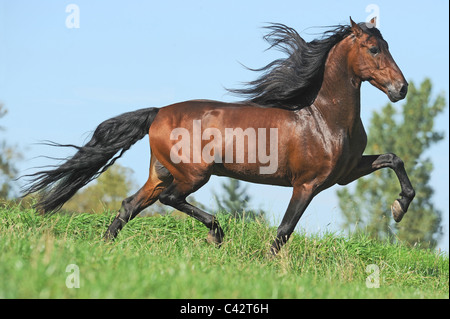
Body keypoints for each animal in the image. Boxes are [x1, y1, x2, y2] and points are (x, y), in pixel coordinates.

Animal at [22, 18, 414, 256]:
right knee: (169, 199)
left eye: (389, 46)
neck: (322, 118)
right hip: (194, 174)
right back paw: (216, 233)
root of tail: (158, 112)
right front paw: (267, 263)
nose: (402, 89)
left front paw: (398, 209)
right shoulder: (307, 184)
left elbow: (393, 159)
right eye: (374, 49)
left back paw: (105, 248)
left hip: (160, 173)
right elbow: (285, 229)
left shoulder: (345, 174)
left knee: (130, 205)